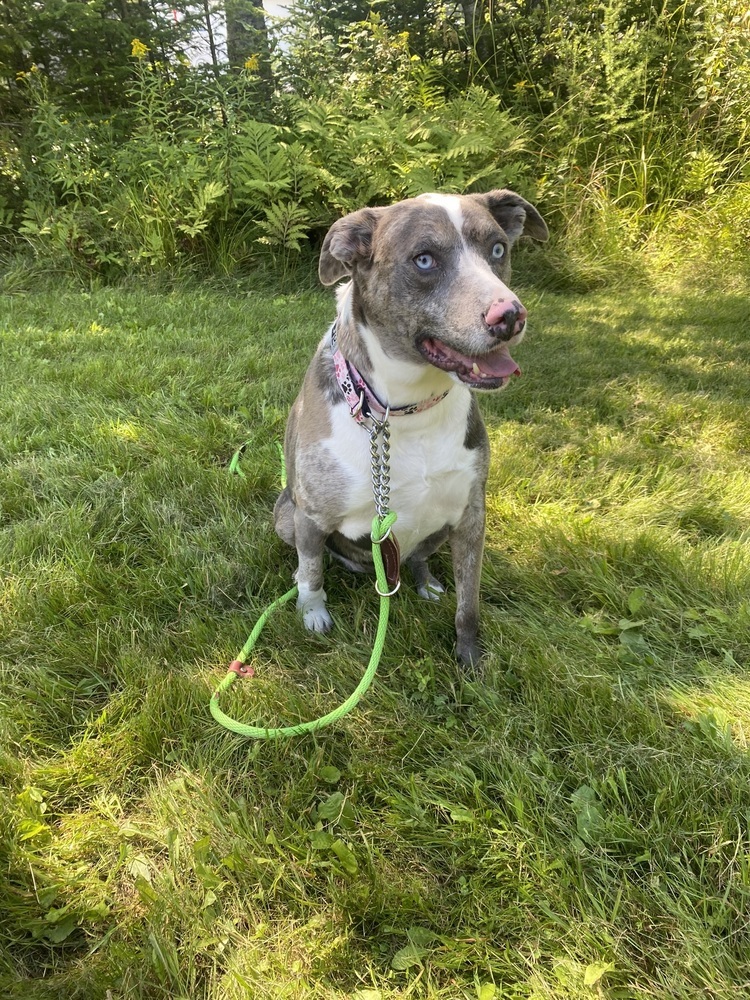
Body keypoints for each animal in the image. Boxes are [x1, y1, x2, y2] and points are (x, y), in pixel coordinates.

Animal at [274, 191, 548, 668]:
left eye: (498, 249)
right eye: (424, 260)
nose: (510, 315)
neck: (405, 408)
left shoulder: (472, 514)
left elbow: (469, 603)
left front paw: (470, 660)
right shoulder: (311, 515)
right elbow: (311, 572)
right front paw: (312, 614)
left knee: (419, 557)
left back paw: (425, 581)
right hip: (285, 515)